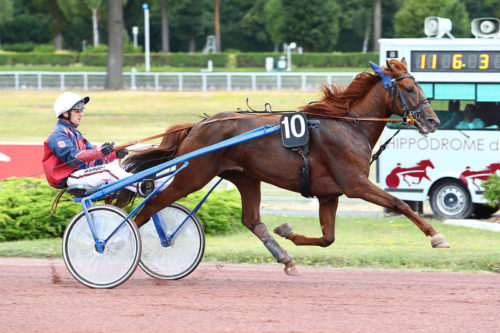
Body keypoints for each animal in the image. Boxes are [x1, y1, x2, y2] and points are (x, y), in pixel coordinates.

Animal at [122, 59, 450, 274]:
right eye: (409, 88)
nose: (432, 121)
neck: (349, 126)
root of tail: (198, 125)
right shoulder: (355, 184)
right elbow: (399, 204)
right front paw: (436, 236)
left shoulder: (329, 194)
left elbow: (327, 238)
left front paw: (287, 232)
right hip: (193, 174)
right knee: (151, 207)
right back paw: (123, 244)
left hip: (245, 177)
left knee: (252, 220)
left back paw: (286, 258)